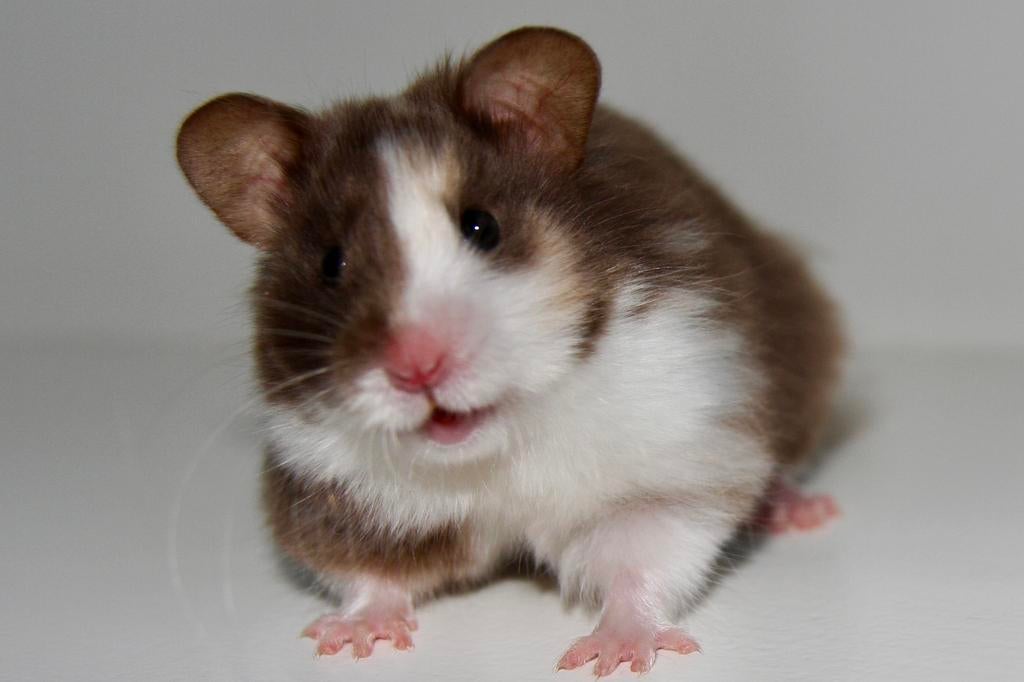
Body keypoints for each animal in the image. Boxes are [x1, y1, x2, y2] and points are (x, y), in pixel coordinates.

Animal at [176, 26, 842, 677]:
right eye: (331, 264)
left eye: (482, 226)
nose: (418, 366)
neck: (497, 444)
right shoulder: (329, 482)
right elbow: (367, 572)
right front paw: (350, 638)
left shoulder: (672, 450)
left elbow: (641, 558)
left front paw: (614, 655)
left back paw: (803, 511)